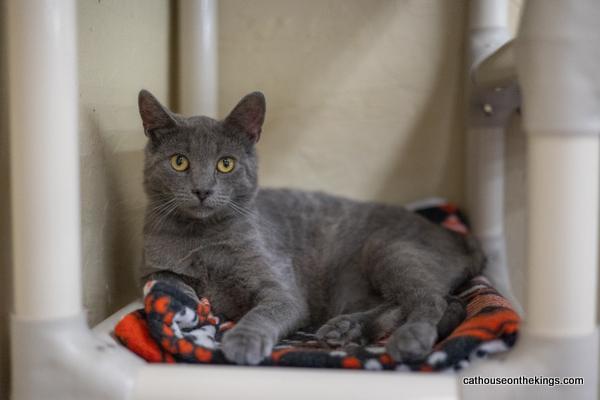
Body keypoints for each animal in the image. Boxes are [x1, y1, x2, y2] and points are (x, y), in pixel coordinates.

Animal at [138, 90, 486, 366]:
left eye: (226, 164)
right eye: (179, 162)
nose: (202, 190)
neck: (201, 240)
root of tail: (458, 237)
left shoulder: (282, 289)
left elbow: (263, 312)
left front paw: (243, 341)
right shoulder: (155, 270)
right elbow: (171, 282)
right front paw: (183, 305)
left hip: (388, 247)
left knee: (431, 299)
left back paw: (409, 338)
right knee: (431, 302)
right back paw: (346, 330)